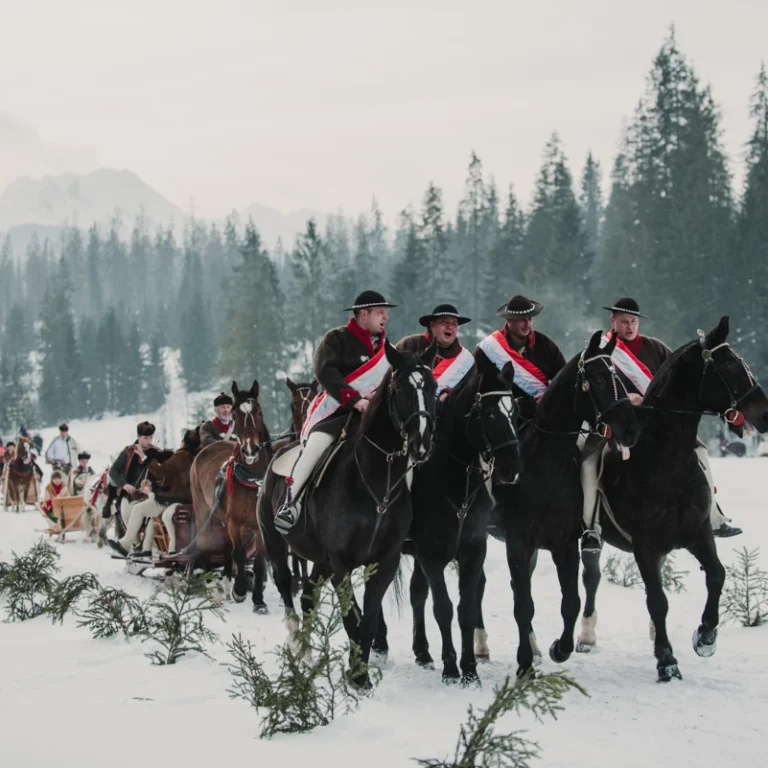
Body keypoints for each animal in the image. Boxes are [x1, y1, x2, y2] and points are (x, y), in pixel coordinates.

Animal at [189, 380, 272, 608]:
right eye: (234, 415)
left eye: (259, 412)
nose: (251, 450)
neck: (253, 479)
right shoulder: (235, 521)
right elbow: (240, 554)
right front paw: (240, 591)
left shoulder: (259, 526)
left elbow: (258, 561)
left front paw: (259, 601)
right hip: (203, 511)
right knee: (206, 546)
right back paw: (212, 590)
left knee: (225, 547)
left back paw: (225, 585)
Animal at [260, 342, 436, 684]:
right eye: (400, 388)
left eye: (434, 388)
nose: (421, 444)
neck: (374, 480)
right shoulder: (341, 563)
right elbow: (352, 617)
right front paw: (356, 675)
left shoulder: (383, 561)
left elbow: (367, 620)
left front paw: (361, 675)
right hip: (275, 545)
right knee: (287, 587)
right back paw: (295, 643)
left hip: (320, 560)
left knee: (308, 597)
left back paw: (308, 652)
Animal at [486, 328, 640, 676]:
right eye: (598, 378)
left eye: (619, 375)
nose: (630, 427)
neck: (544, 467)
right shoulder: (518, 542)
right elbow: (523, 604)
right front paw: (524, 663)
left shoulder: (564, 545)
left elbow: (570, 602)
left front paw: (560, 648)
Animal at [576, 318, 768, 684]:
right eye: (729, 366)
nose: (763, 411)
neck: (665, 460)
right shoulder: (645, 545)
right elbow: (657, 598)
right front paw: (666, 660)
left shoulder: (698, 534)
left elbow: (717, 575)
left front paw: (705, 636)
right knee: (592, 577)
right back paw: (587, 636)